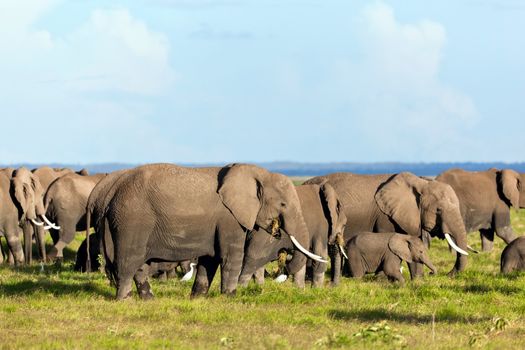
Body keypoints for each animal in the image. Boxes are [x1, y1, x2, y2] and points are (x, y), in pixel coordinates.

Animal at [95, 163, 324, 300]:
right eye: (283, 204)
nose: (284, 265)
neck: (257, 173)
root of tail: (111, 192)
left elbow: (210, 260)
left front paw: (197, 299)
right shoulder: (230, 219)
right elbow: (231, 257)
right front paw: (230, 298)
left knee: (139, 265)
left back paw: (149, 300)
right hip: (132, 220)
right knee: (129, 261)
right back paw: (125, 300)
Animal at [304, 171, 468, 280]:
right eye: (439, 210)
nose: (447, 275)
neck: (421, 182)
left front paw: (417, 281)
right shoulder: (385, 217)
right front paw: (382, 279)